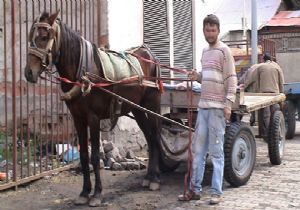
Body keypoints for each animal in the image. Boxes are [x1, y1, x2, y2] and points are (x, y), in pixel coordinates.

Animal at [24, 11, 163, 207]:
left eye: (44, 37)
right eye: (31, 38)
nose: (28, 73)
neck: (82, 70)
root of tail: (149, 53)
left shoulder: (93, 118)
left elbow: (96, 155)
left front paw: (97, 194)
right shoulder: (78, 118)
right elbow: (83, 155)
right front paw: (84, 192)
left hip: (152, 105)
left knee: (156, 137)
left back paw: (156, 180)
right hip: (137, 109)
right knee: (150, 138)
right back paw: (149, 177)